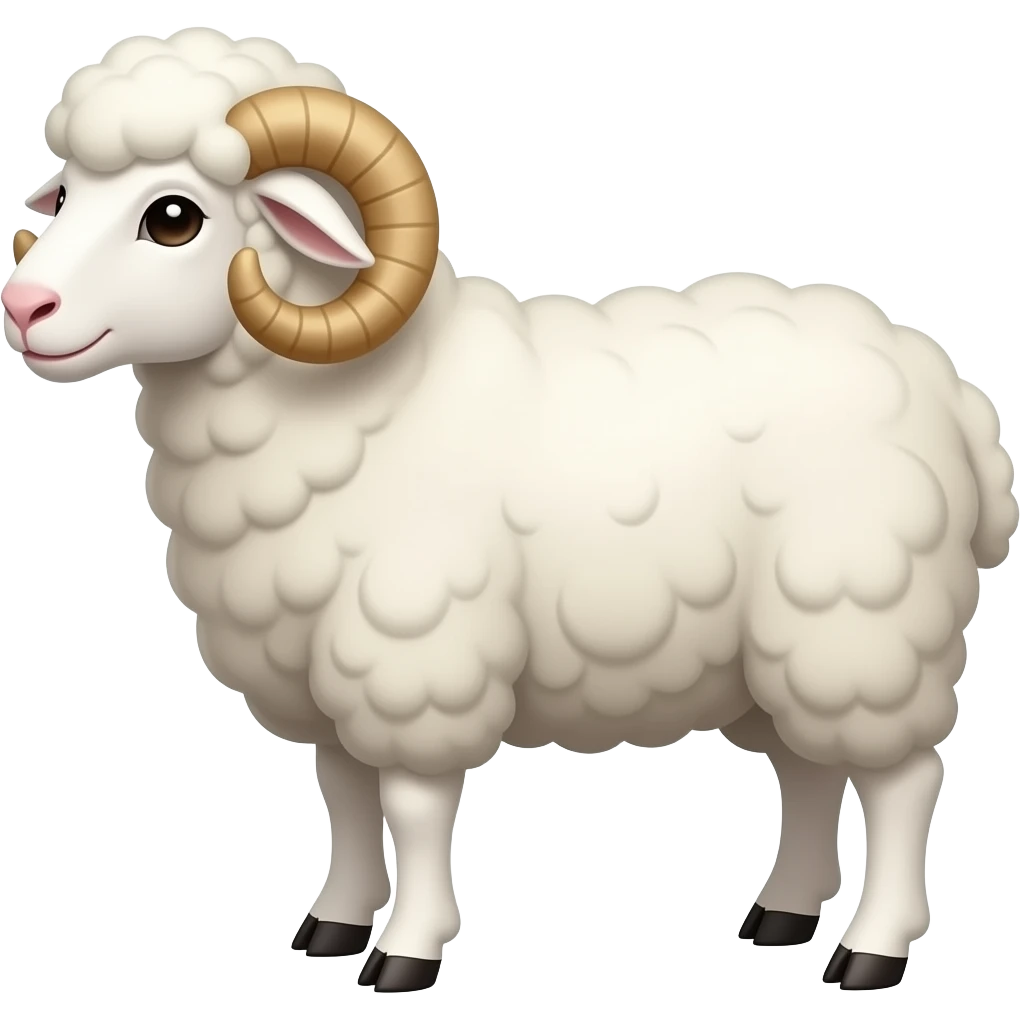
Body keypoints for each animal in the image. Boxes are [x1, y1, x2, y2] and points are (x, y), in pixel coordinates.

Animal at [2, 27, 1016, 995]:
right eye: (66, 193)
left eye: (174, 217)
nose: (24, 305)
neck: (348, 400)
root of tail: (940, 376)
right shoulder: (322, 669)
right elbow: (344, 794)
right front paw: (332, 926)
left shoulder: (413, 650)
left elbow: (409, 806)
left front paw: (405, 953)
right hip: (775, 654)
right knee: (807, 770)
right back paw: (782, 915)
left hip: (862, 624)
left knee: (901, 780)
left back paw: (871, 950)